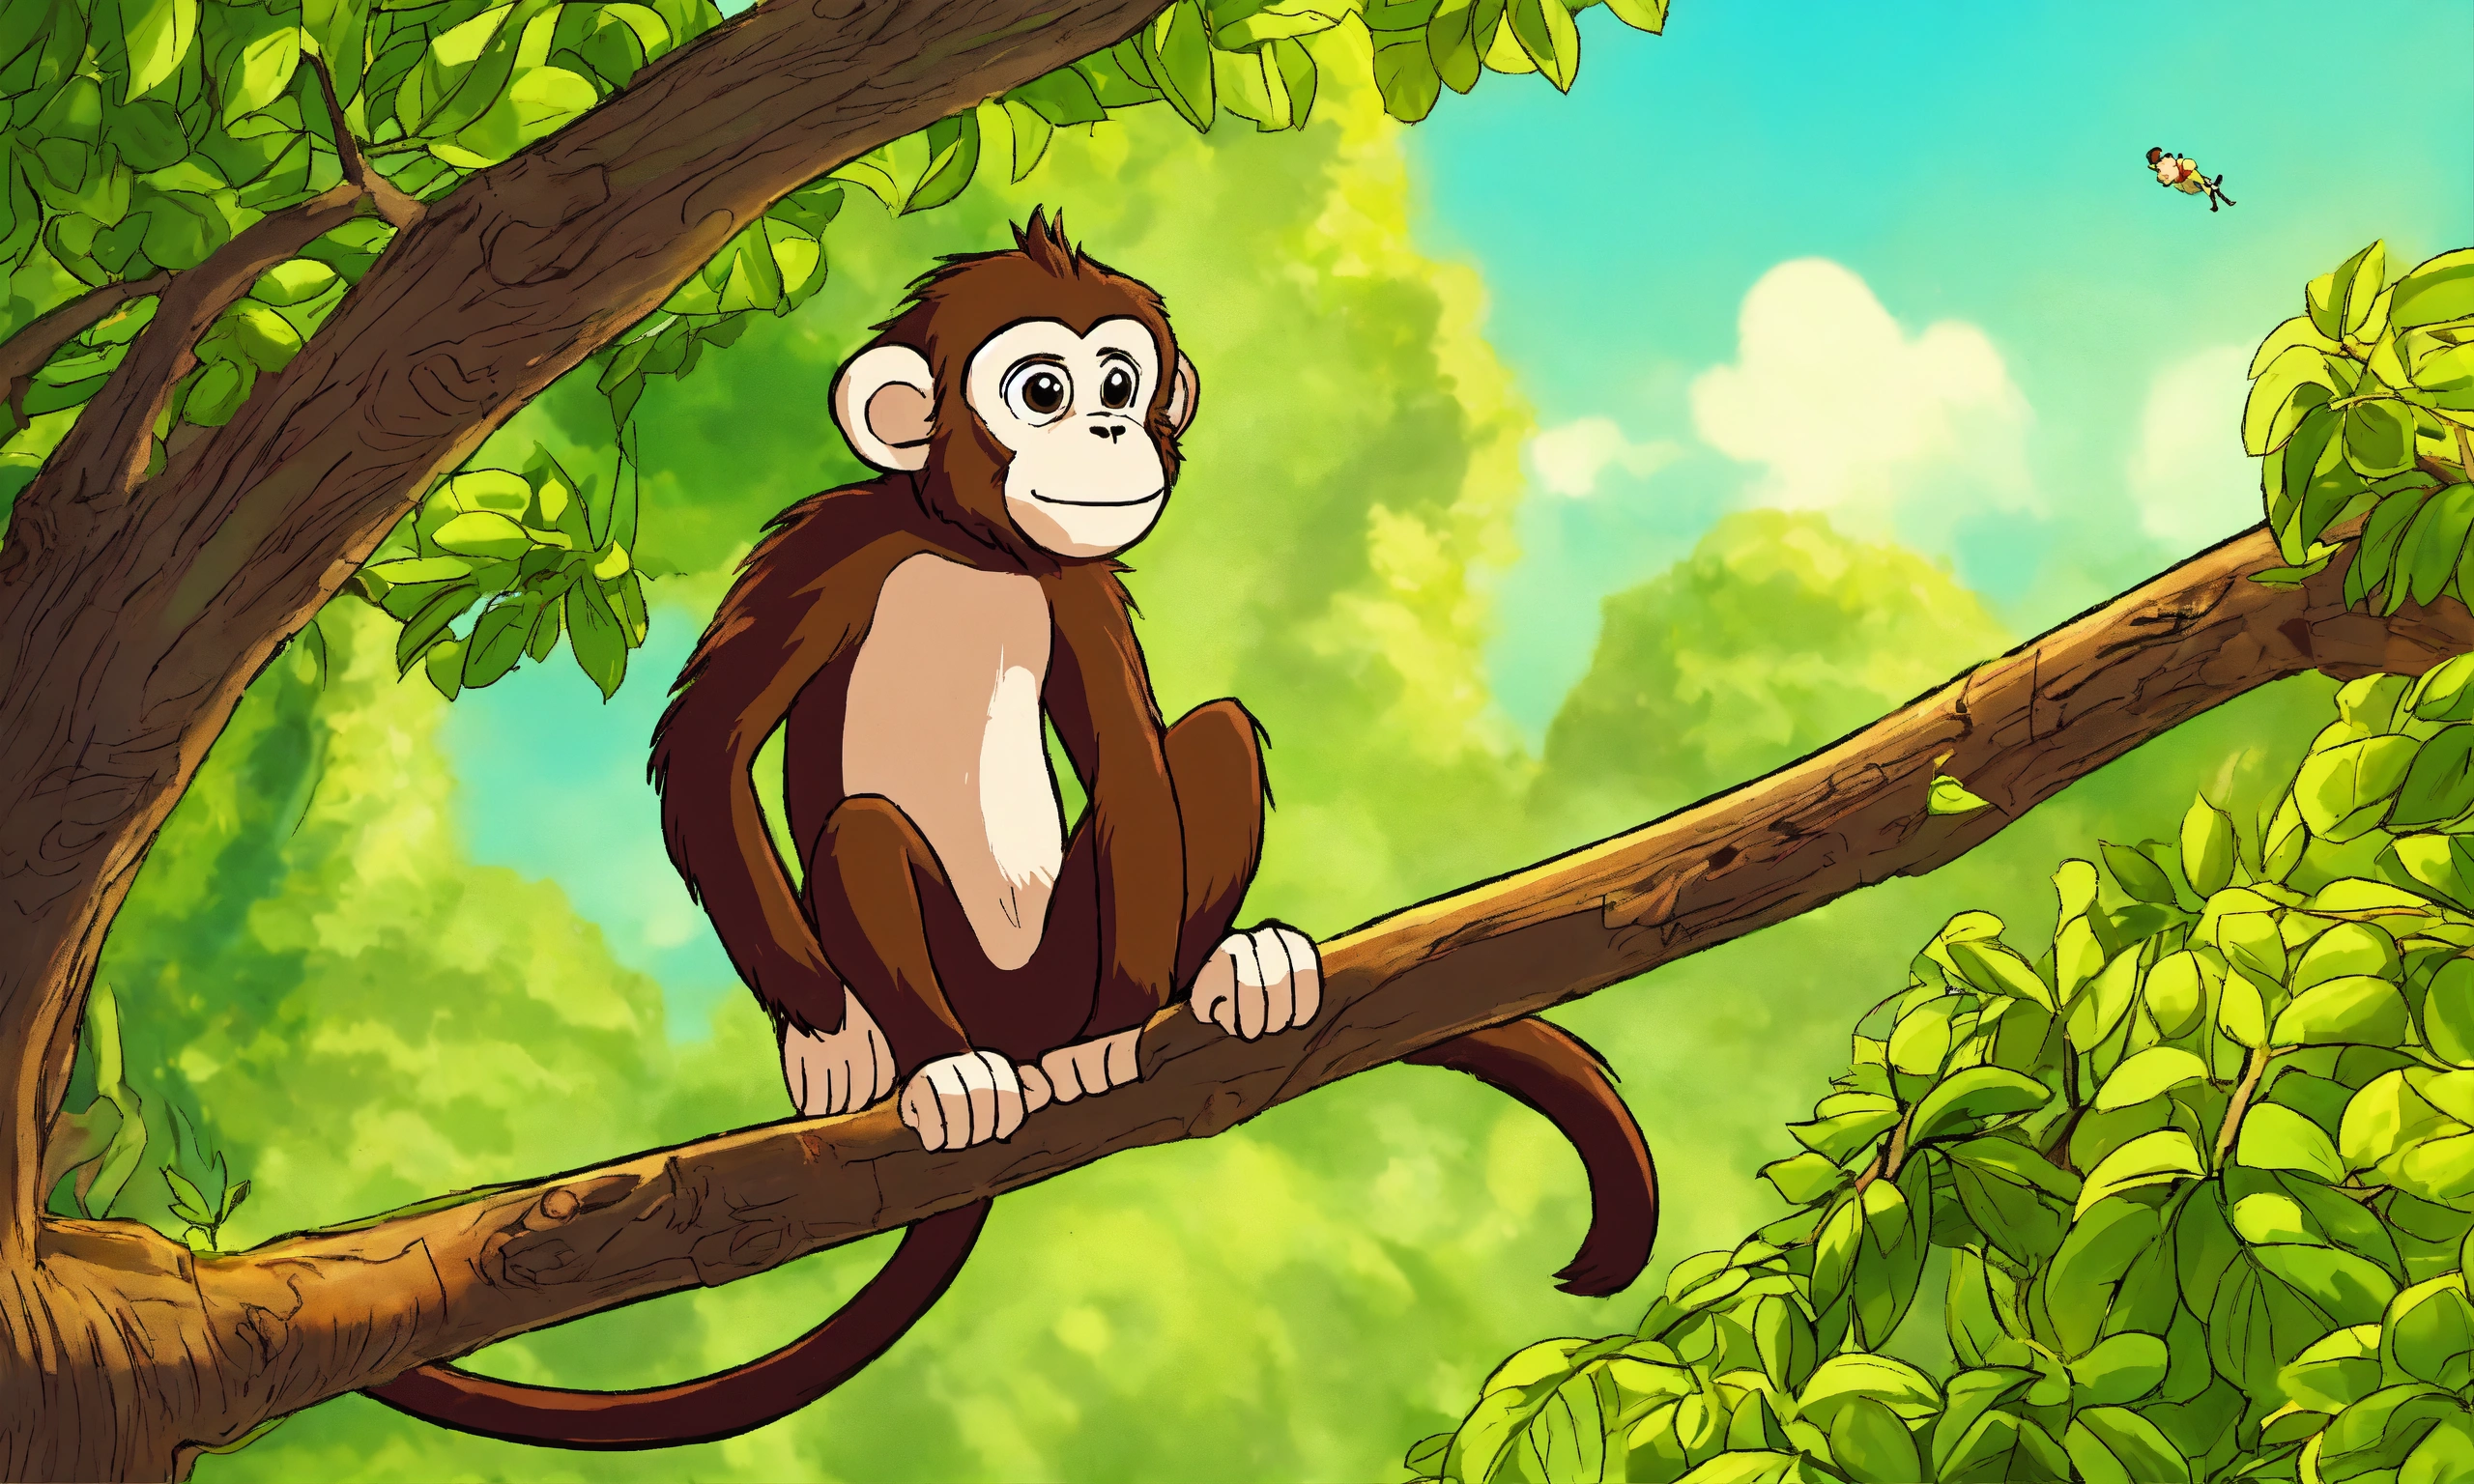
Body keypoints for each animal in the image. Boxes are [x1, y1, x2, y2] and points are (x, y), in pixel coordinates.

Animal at [363, 210, 1658, 1450]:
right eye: (1043, 389)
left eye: (1122, 381)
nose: (1110, 430)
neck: (968, 545)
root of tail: (1017, 1021)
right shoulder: (820, 546)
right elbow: (710, 754)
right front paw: (824, 1037)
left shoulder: (1077, 586)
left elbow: (1134, 762)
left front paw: (1125, 1024)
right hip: (973, 985)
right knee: (865, 838)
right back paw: (946, 1068)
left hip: (1063, 960)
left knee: (1215, 740)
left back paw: (1214, 974)